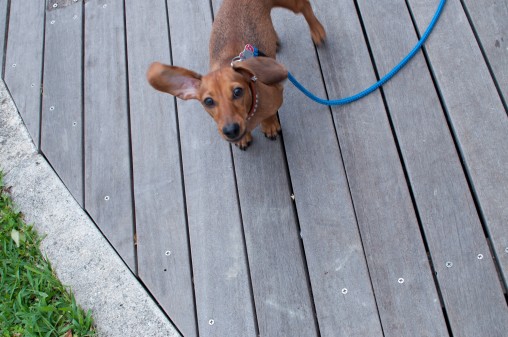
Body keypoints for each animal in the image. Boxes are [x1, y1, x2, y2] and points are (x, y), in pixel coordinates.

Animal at [147, 0, 326, 150]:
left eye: (238, 92)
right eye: (208, 101)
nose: (231, 130)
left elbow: (269, 115)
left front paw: (269, 124)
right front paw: (244, 137)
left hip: (291, 4)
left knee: (305, 6)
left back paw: (317, 30)